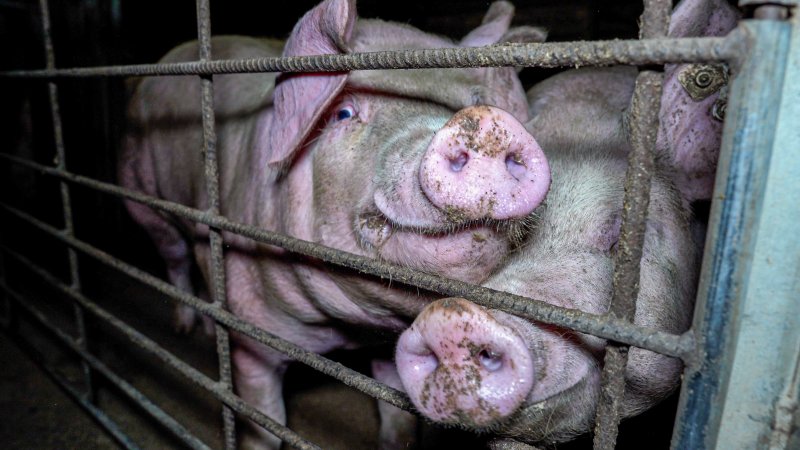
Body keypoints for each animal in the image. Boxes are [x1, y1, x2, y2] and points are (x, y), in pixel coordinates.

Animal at [120, 0, 552, 446]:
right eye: (343, 112)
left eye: (477, 100)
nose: (483, 123)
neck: (345, 331)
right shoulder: (251, 327)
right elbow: (264, 418)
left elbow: (396, 416)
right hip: (138, 186)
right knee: (174, 255)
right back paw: (185, 328)